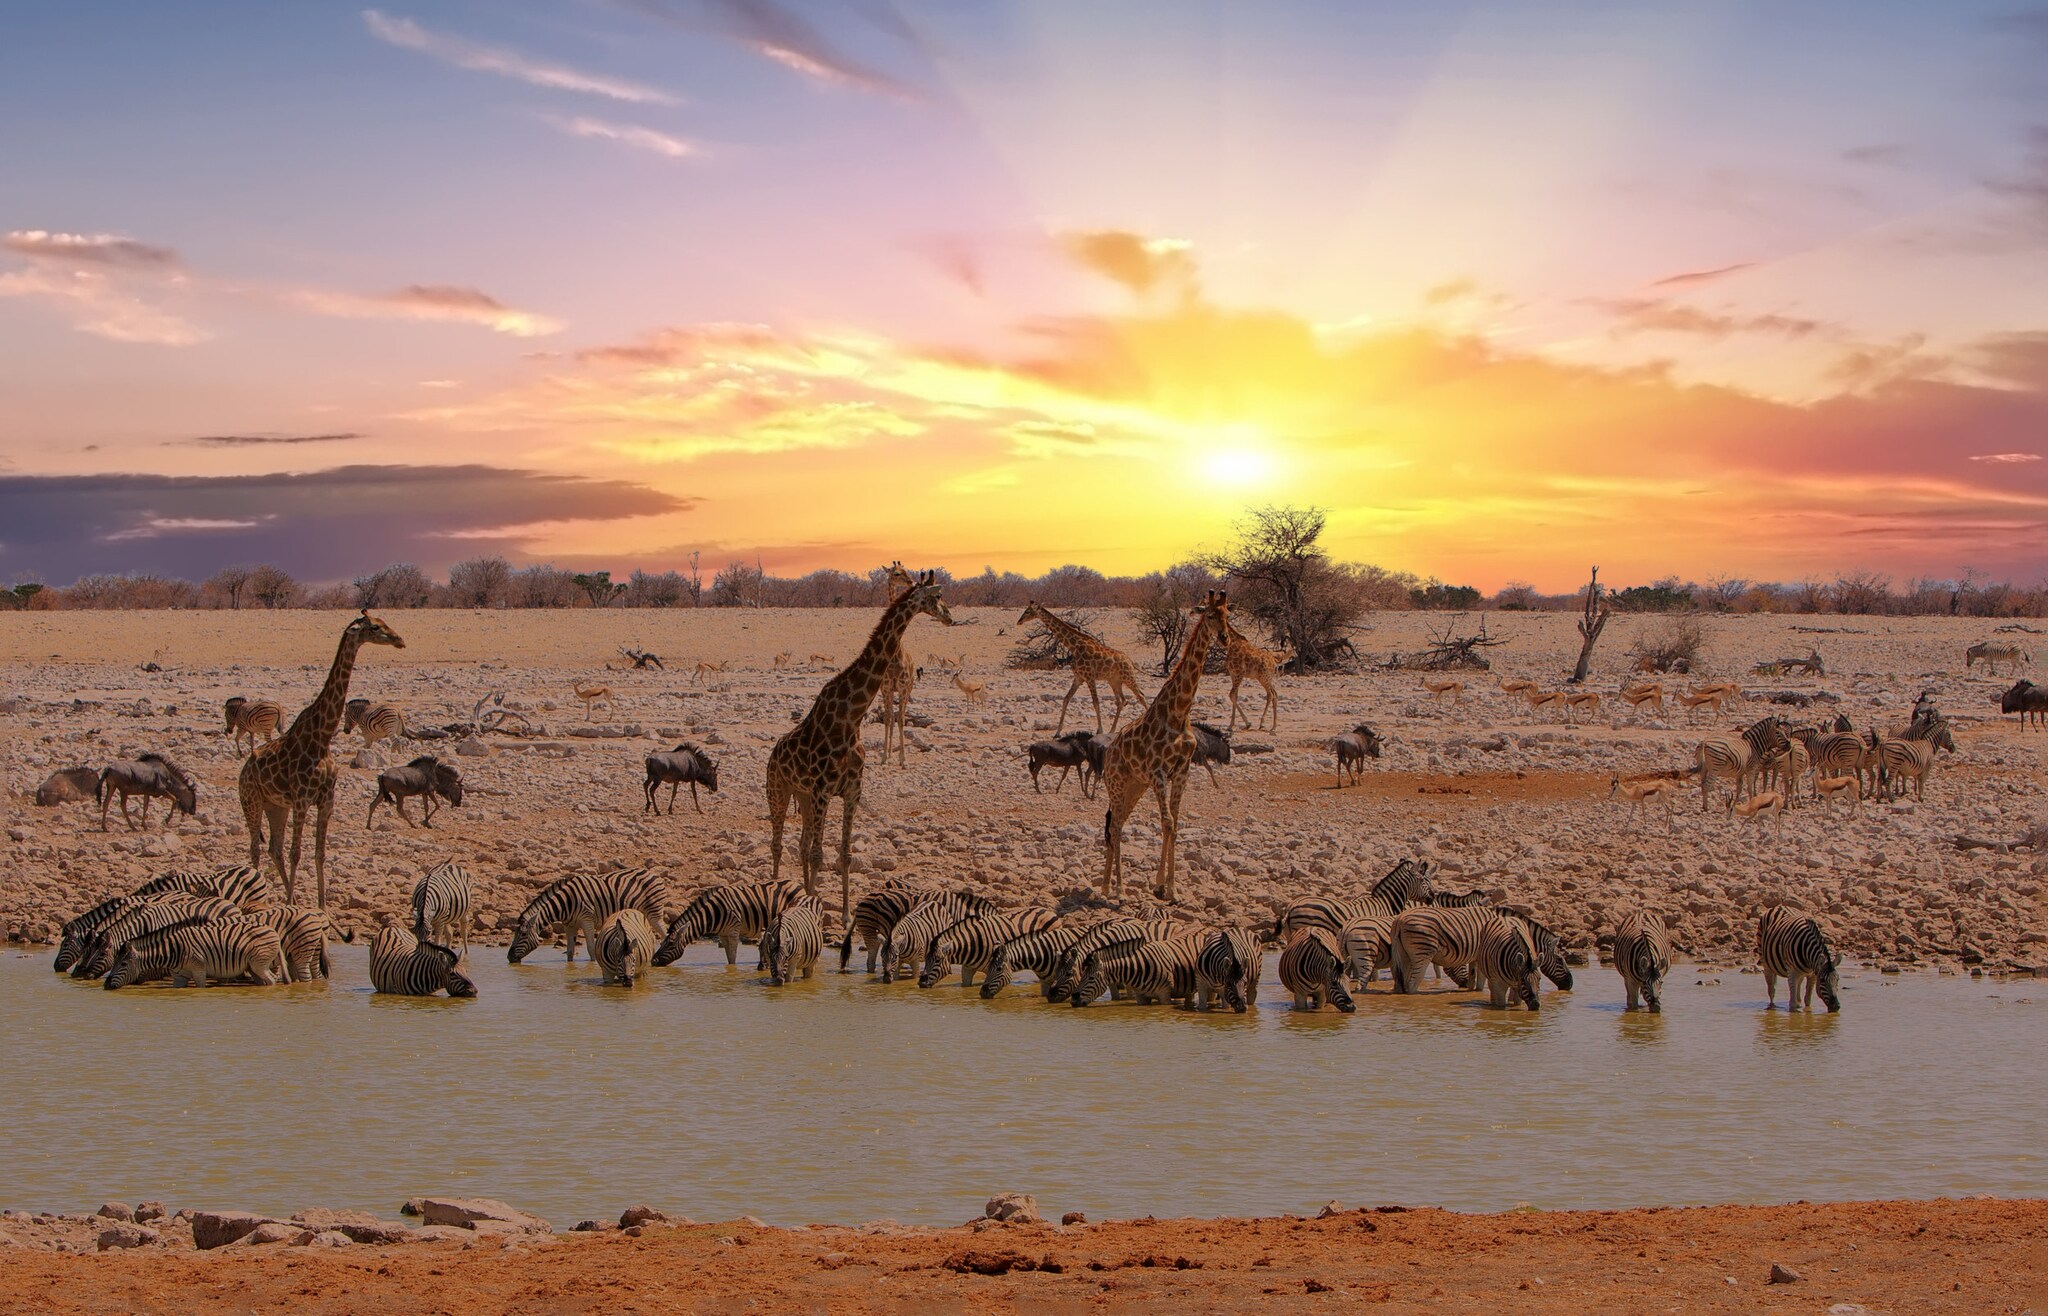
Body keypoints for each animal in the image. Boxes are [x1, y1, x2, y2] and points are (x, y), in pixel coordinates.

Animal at [105, 919, 284, 990]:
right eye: (114, 962)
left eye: (123, 964)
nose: (106, 985)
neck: (173, 951)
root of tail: (272, 929)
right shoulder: (179, 977)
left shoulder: (199, 970)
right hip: (253, 967)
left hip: (259, 964)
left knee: (272, 980)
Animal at [507, 867, 667, 964]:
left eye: (523, 934)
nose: (509, 957)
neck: (565, 902)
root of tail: (652, 873)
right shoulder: (569, 925)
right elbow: (570, 951)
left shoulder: (587, 920)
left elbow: (591, 948)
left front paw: (593, 965)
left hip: (654, 913)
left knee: (664, 935)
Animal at [653, 878, 805, 967]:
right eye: (661, 943)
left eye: (670, 944)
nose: (653, 961)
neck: (713, 913)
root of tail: (797, 883)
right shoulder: (723, 934)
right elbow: (728, 956)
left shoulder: (733, 931)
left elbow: (732, 957)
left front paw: (732, 972)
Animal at [918, 909, 1062, 988]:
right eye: (926, 960)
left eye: (937, 960)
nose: (920, 984)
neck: (972, 944)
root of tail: (1050, 911)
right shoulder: (967, 968)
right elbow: (965, 985)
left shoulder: (992, 967)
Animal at [1069, 934, 1204, 1007]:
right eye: (1081, 976)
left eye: (1091, 978)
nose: (1073, 999)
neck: (1139, 967)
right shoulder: (1141, 996)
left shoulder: (1164, 994)